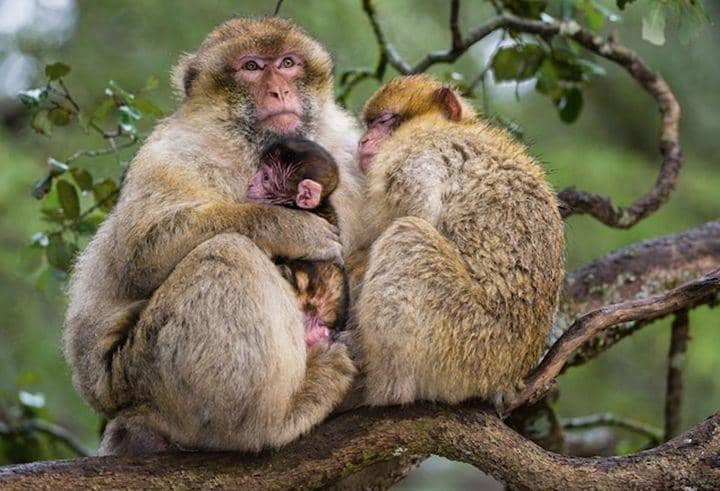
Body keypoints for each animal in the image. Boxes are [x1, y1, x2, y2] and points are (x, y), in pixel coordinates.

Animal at [351, 74, 565, 408]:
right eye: (368, 124)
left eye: (383, 121)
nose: (363, 141)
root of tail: (509, 376)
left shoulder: (412, 147)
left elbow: (418, 211)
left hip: (467, 343)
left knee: (407, 236)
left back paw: (385, 389)